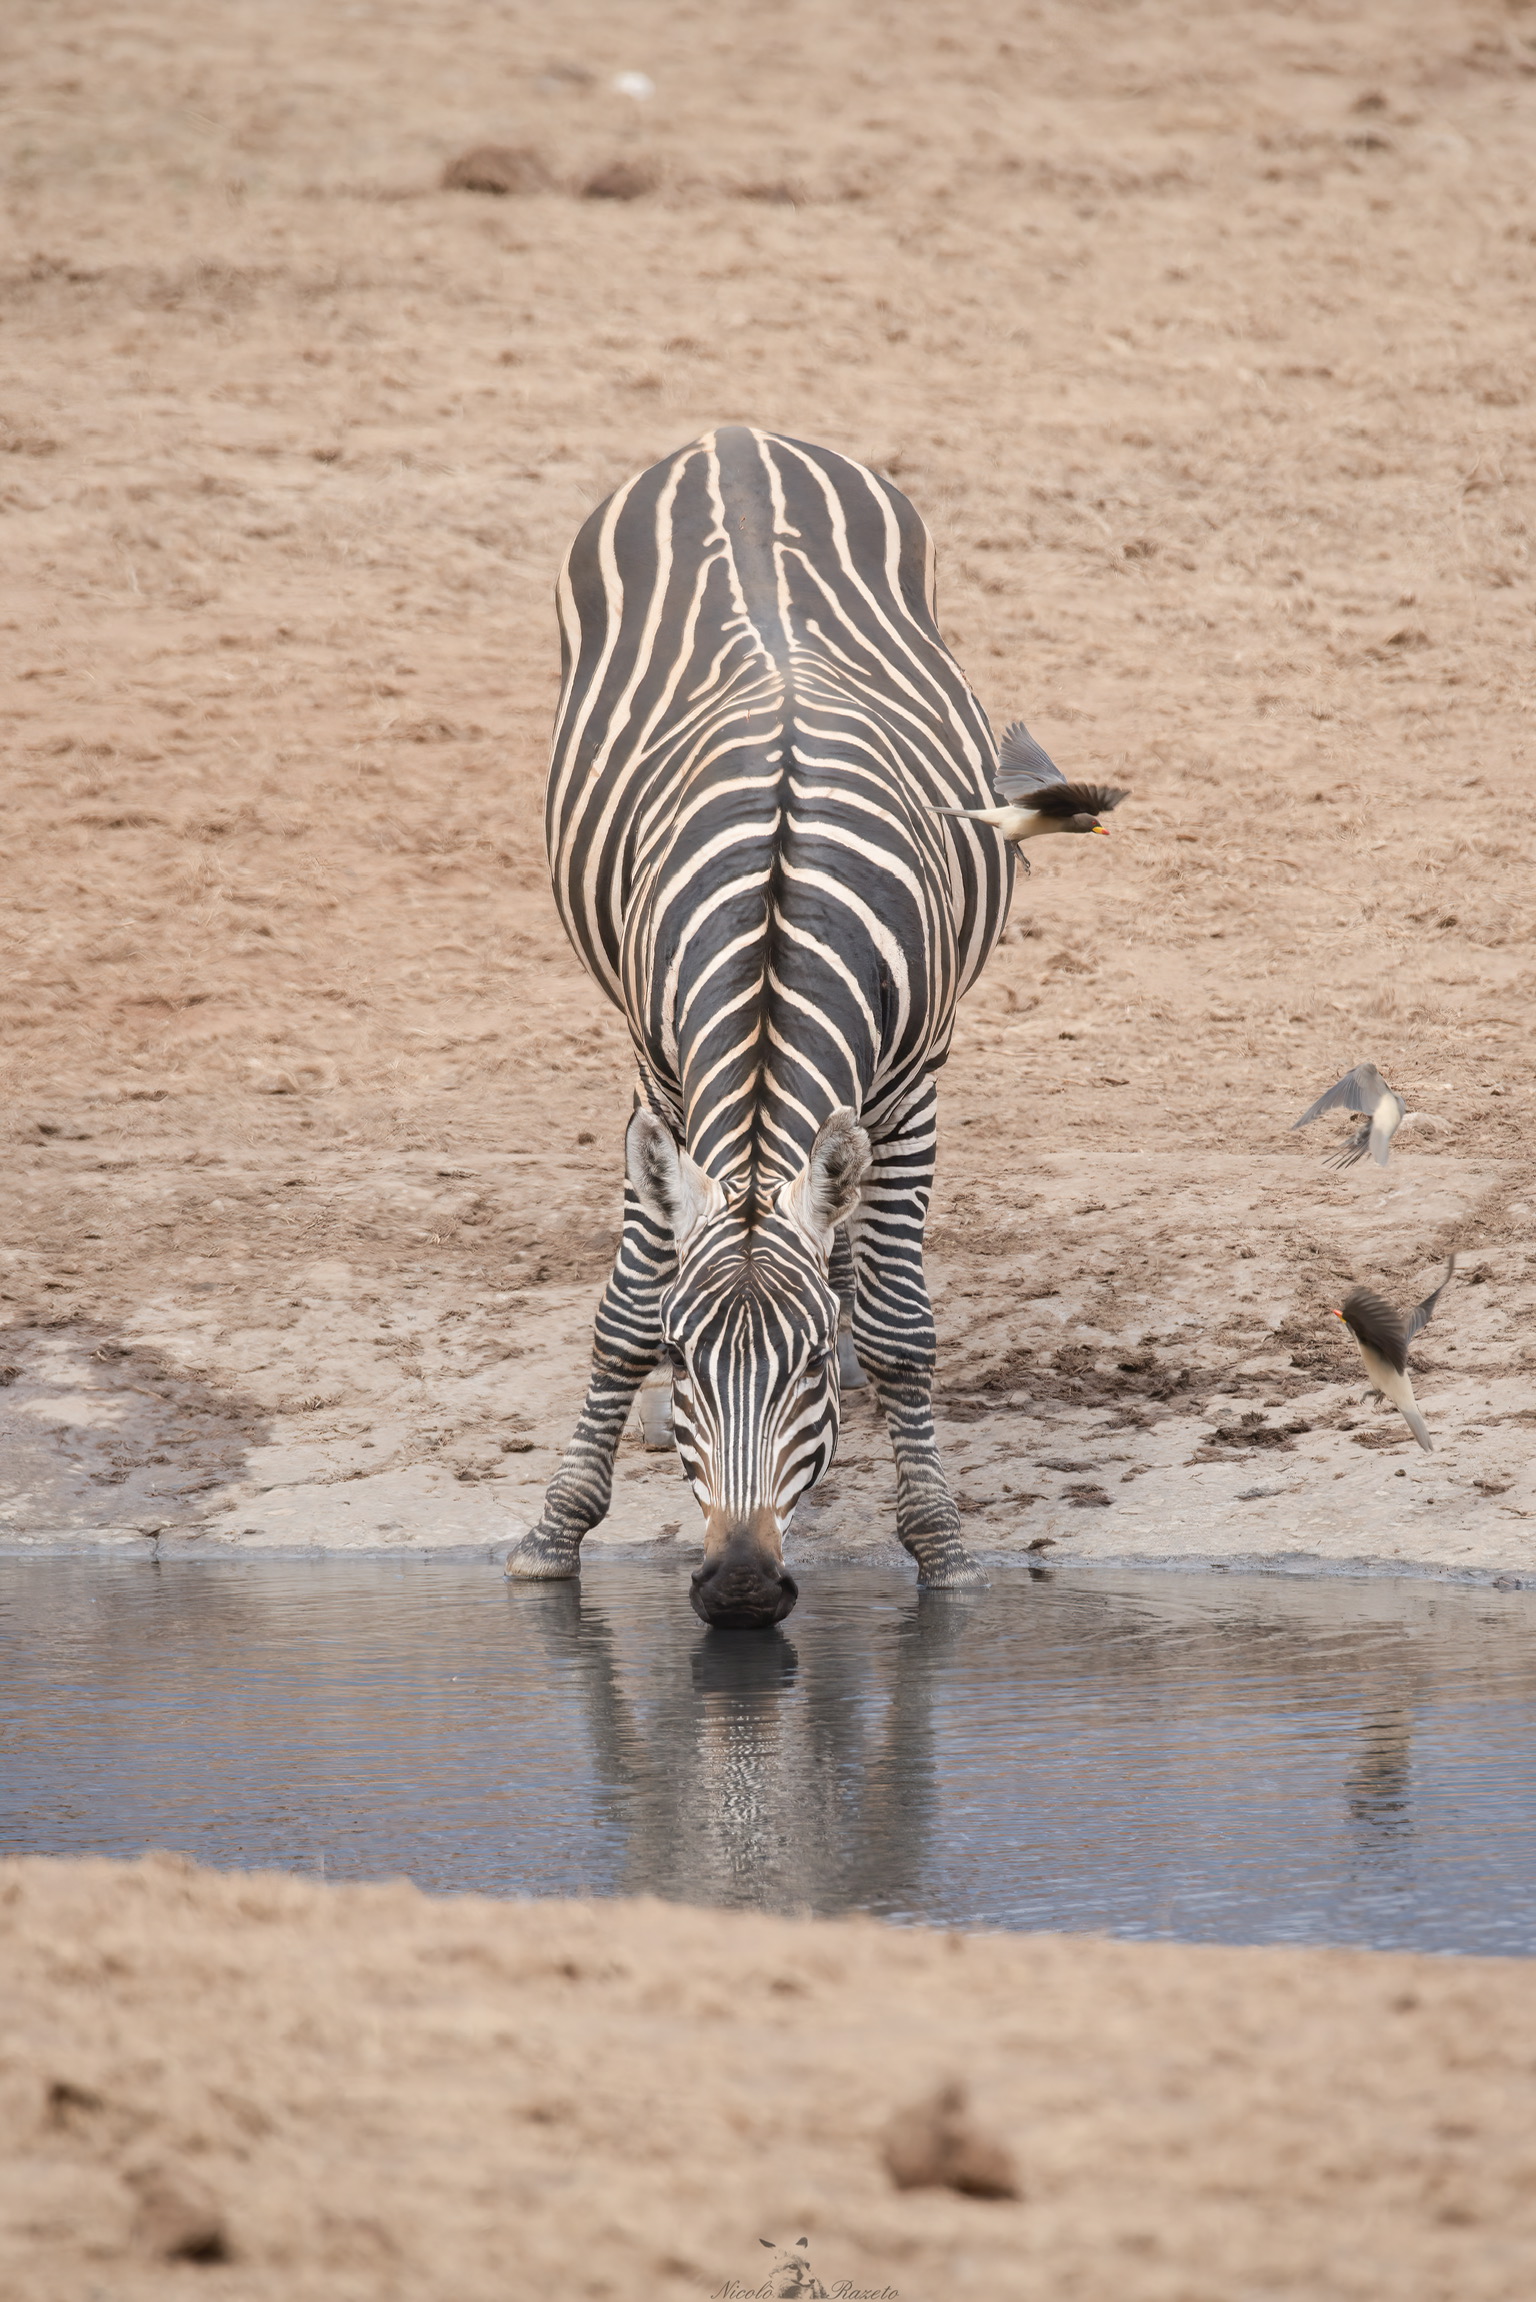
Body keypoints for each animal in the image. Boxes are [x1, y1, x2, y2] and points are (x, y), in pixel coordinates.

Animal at [505, 426, 1015, 1626]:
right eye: (687, 1363)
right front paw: (556, 1526)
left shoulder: (915, 1087)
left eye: (806, 1369)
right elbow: (623, 1305)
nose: (739, 1589)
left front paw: (940, 1539)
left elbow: (902, 1328)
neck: (782, 929)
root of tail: (734, 437)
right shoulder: (656, 1072)